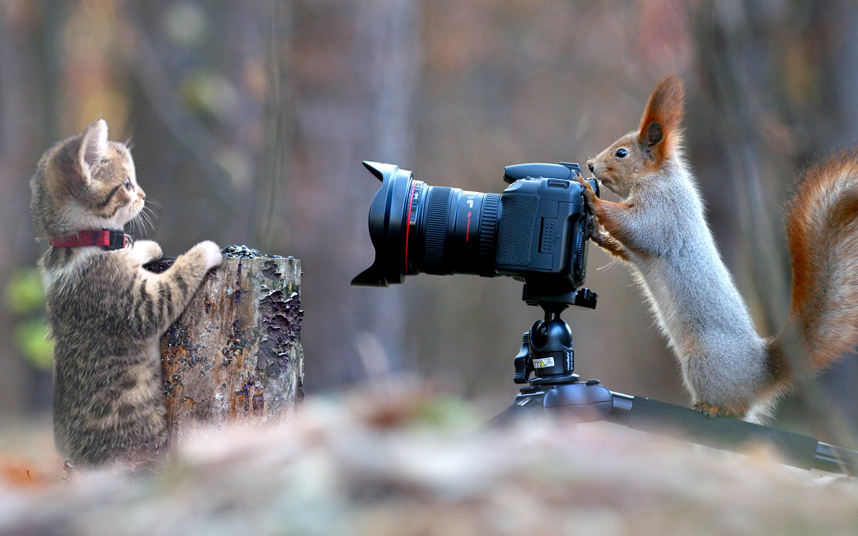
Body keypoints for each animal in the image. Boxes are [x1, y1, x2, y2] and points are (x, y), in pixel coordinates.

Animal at [30, 119, 221, 466]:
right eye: (128, 184)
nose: (143, 195)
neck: (78, 243)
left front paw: (144, 247)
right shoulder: (137, 305)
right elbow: (173, 284)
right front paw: (203, 251)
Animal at [572, 73, 856, 422]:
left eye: (621, 153)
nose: (589, 165)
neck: (659, 178)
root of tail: (760, 374)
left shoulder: (664, 213)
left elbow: (638, 229)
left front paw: (590, 196)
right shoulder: (643, 243)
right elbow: (626, 247)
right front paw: (594, 231)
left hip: (703, 361)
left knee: (734, 408)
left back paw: (712, 407)